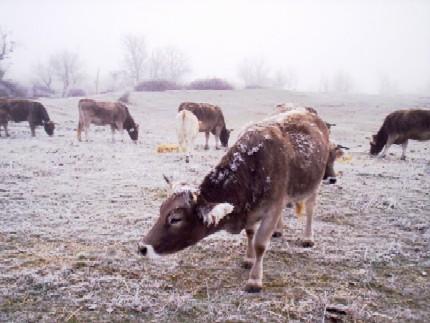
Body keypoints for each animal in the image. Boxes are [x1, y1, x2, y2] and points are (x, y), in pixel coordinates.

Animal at [139, 109, 330, 294]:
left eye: (175, 219)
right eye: (161, 210)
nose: (142, 247)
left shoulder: (273, 206)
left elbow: (260, 243)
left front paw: (254, 280)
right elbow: (250, 233)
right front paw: (249, 258)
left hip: (315, 183)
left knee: (310, 209)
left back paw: (307, 238)